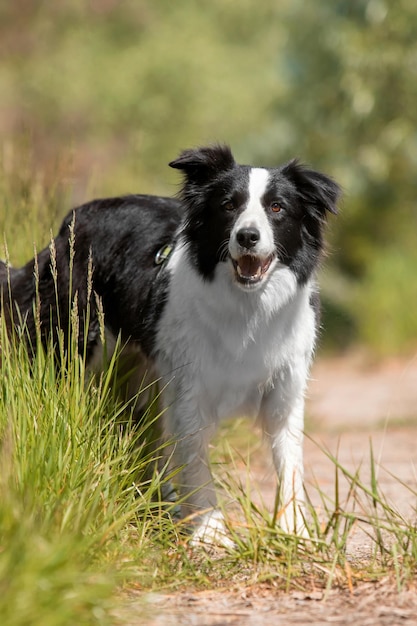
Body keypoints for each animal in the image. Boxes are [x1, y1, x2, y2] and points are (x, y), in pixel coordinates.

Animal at [0, 145, 338, 540]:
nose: (247, 237)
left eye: (277, 208)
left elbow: (289, 460)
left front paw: (293, 531)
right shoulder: (190, 385)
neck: (248, 307)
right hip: (76, 340)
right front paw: (211, 531)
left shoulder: (285, 384)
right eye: (228, 206)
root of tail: (71, 221)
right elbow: (195, 459)